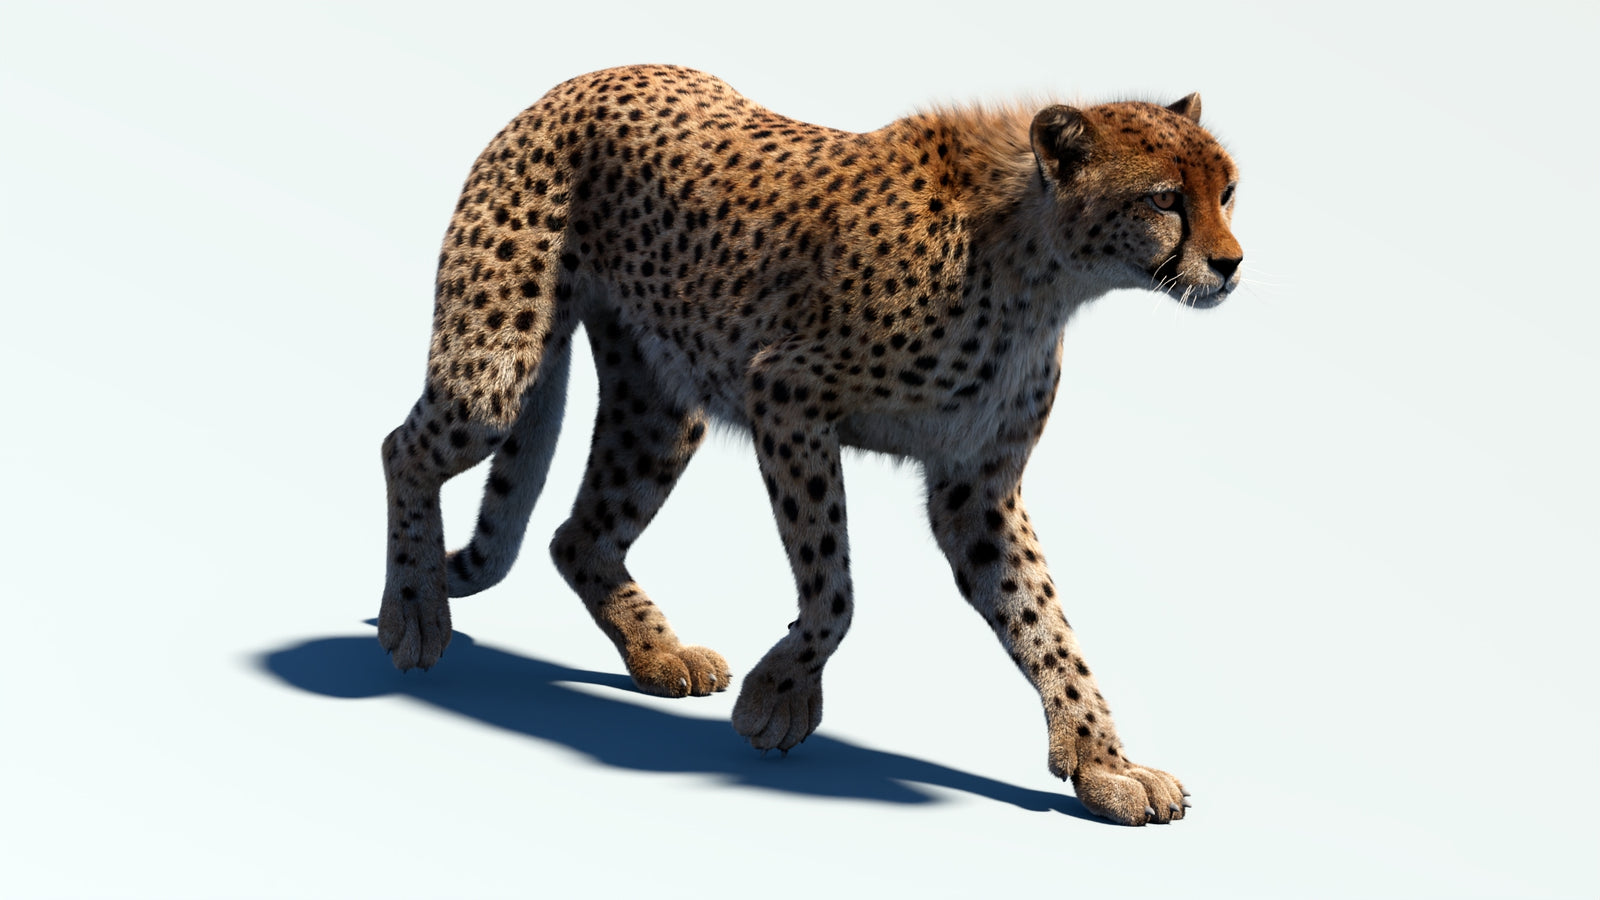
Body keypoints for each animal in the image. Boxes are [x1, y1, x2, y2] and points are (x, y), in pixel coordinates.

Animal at [377, 64, 1242, 826]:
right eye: (1165, 199)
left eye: (1228, 191)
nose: (1231, 264)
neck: (1041, 269)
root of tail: (588, 78)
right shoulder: (786, 397)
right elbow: (834, 586)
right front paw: (780, 696)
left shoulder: (976, 489)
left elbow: (1047, 625)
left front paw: (1103, 762)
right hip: (494, 375)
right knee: (400, 448)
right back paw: (414, 612)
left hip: (661, 409)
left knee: (576, 536)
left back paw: (658, 654)